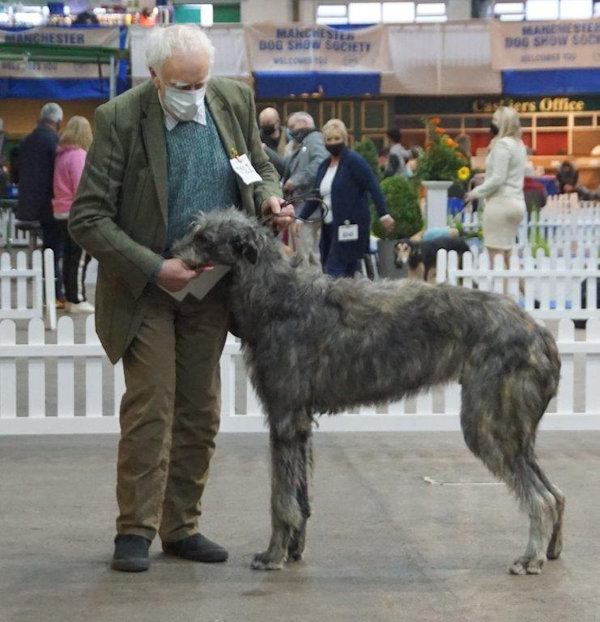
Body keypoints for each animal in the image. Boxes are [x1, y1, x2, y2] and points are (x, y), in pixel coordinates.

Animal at [172, 210, 564, 580]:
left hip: (488, 423)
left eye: (204, 238)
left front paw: (272, 554)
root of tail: (541, 333)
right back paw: (552, 549)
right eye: (194, 231)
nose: (170, 257)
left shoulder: (283, 415)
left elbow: (280, 499)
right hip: (514, 428)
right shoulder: (300, 423)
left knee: (542, 498)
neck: (276, 295)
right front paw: (294, 548)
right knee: (556, 493)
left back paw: (530, 558)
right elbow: (300, 496)